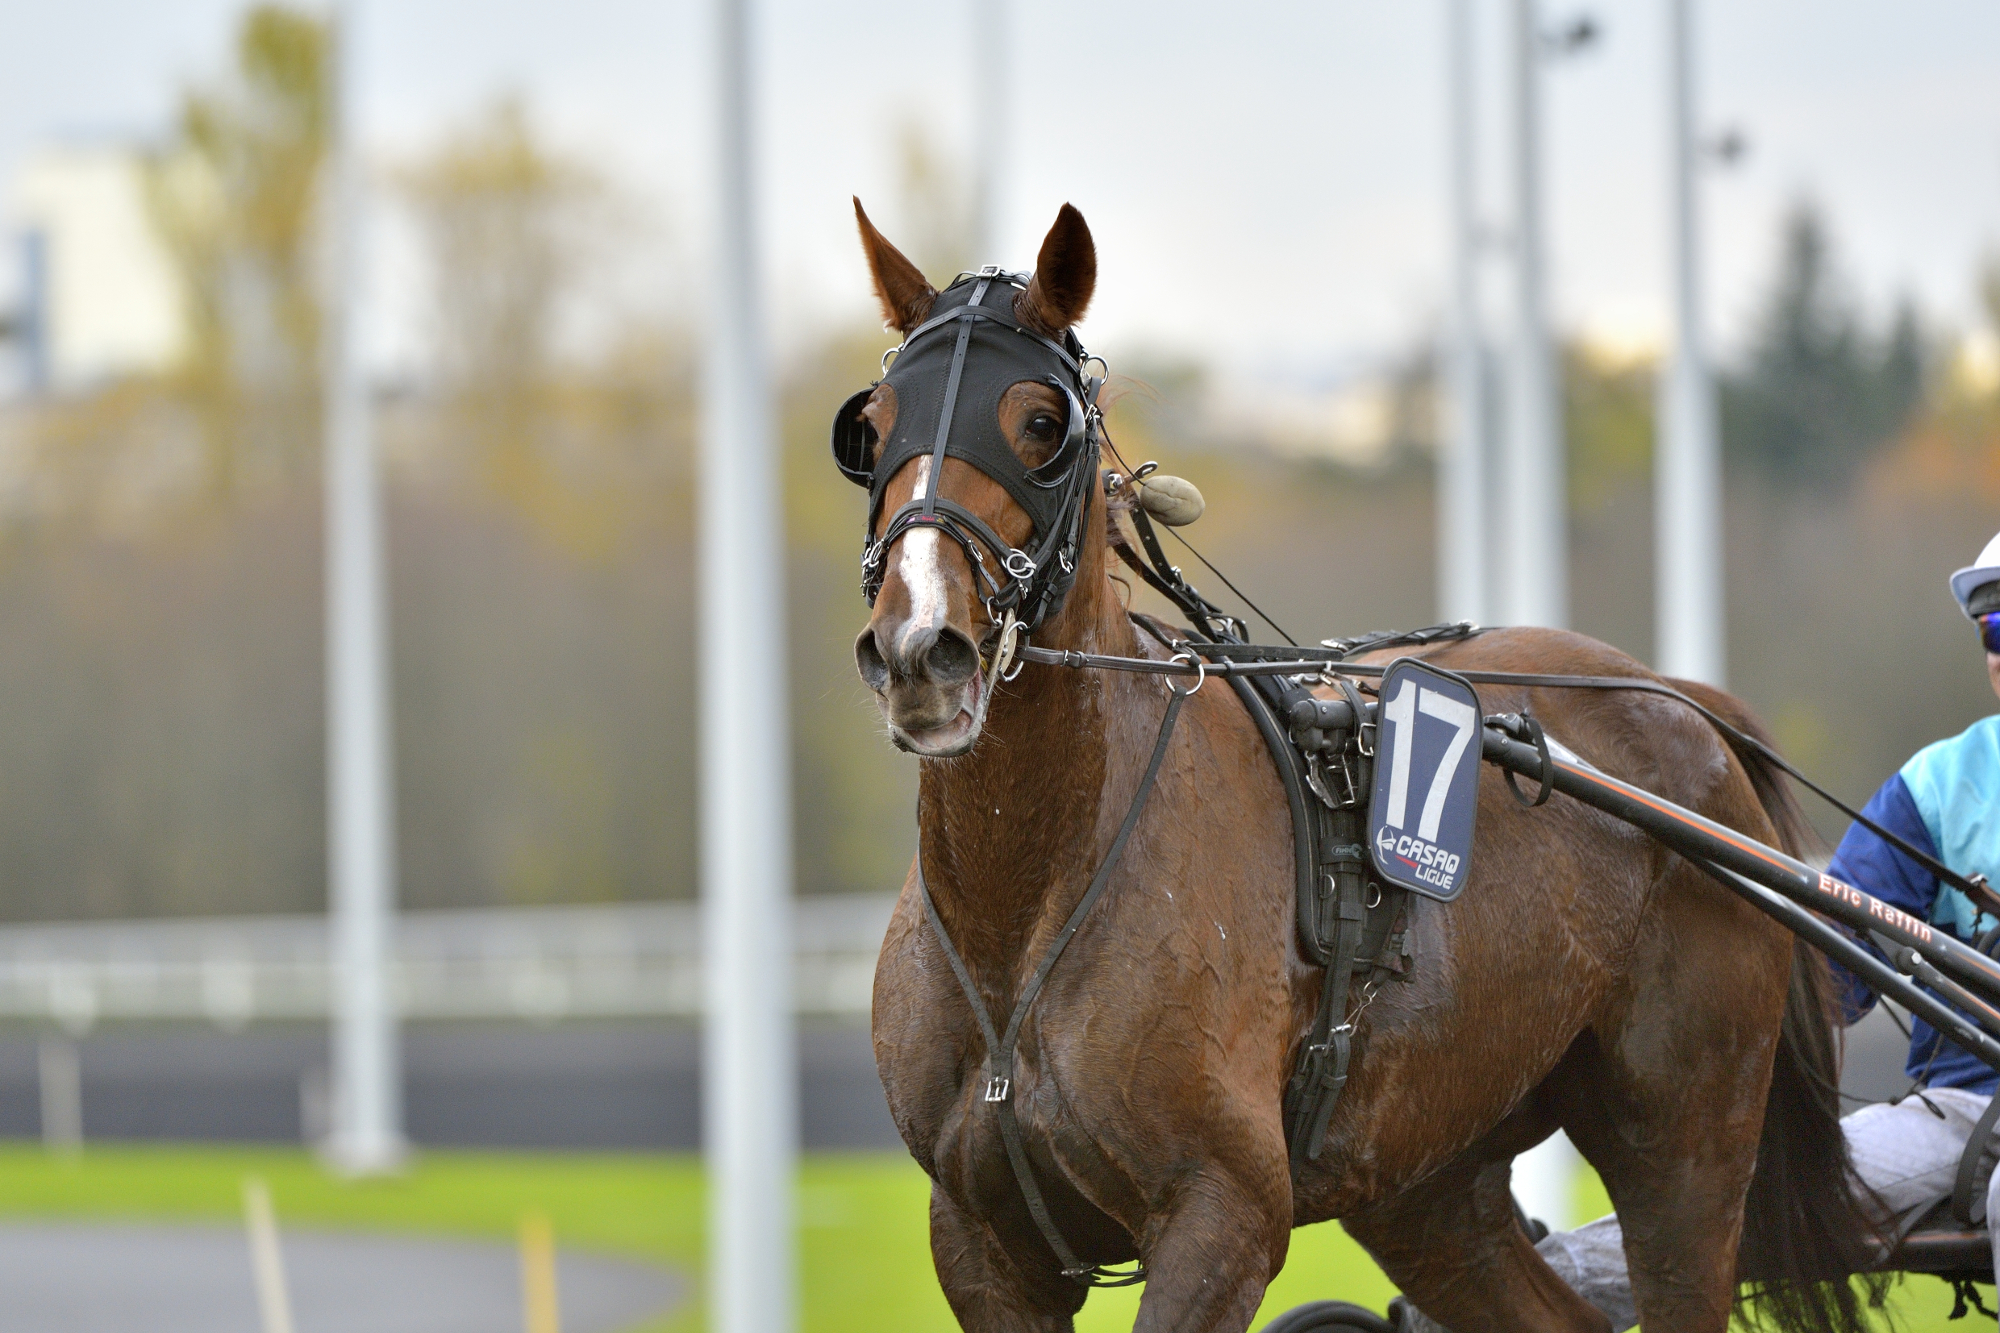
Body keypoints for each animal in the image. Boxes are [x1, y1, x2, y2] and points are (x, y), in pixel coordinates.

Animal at [840, 200, 1872, 1328]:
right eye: (871, 426)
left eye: (1038, 422)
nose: (919, 646)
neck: (1026, 908)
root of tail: (1674, 699)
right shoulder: (979, 1243)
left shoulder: (1223, 1212)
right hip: (1426, 1170)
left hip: (1686, 1133)